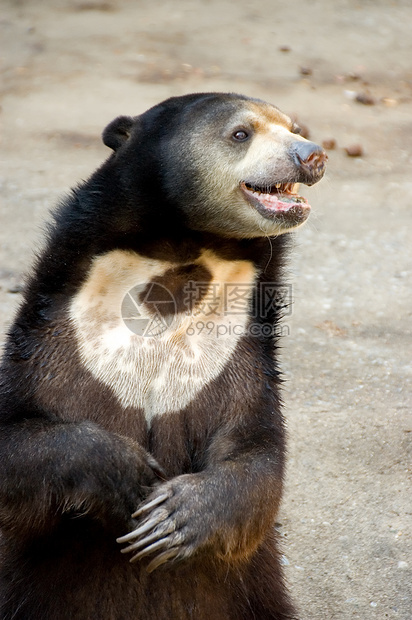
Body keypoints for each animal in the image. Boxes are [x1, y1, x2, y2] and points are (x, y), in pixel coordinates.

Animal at [0, 93, 326, 620]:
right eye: (241, 133)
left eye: (296, 127)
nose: (312, 155)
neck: (180, 258)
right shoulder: (56, 335)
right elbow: (17, 436)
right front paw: (130, 476)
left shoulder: (236, 356)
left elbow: (257, 452)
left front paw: (174, 517)